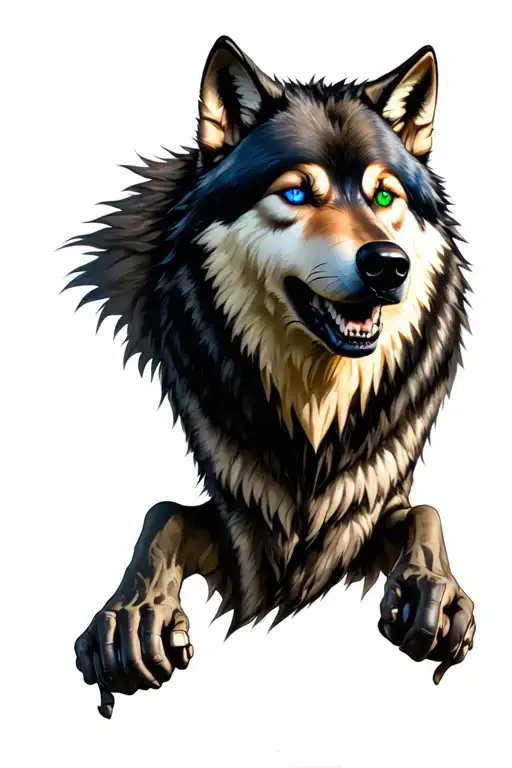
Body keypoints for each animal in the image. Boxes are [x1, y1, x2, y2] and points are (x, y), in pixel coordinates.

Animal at [69, 36, 475, 718]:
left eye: (384, 197)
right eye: (296, 194)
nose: (387, 265)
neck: (314, 419)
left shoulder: (369, 503)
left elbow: (425, 511)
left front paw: (434, 595)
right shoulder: (240, 516)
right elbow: (164, 512)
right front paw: (132, 617)